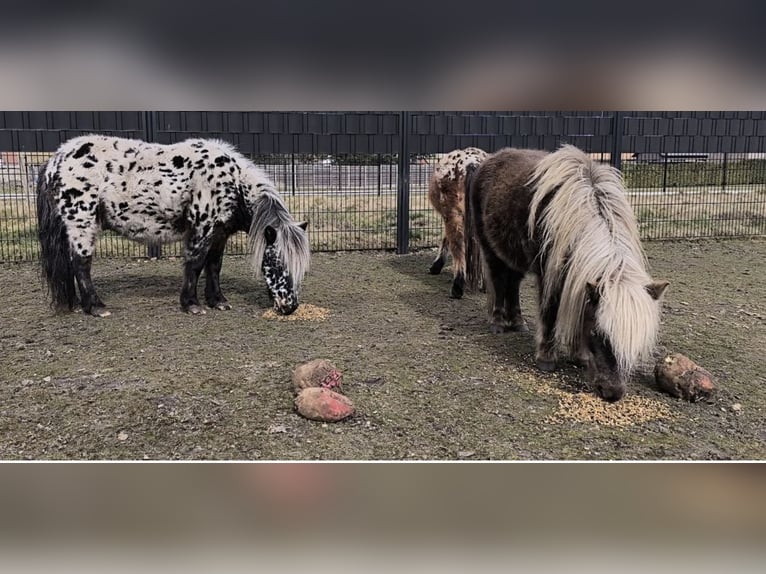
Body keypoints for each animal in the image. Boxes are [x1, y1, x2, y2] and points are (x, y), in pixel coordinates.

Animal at [36, 134, 310, 317]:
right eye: (277, 263)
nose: (289, 307)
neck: (232, 182)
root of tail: (56, 159)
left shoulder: (219, 234)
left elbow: (214, 266)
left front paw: (217, 301)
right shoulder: (202, 230)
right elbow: (196, 264)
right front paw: (192, 304)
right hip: (81, 223)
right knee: (81, 264)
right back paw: (95, 307)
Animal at [427, 147, 487, 298]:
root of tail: (473, 163)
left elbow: (446, 239)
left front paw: (436, 266)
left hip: (454, 215)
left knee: (457, 245)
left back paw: (457, 287)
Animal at [464, 144, 669, 402]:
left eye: (636, 340)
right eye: (597, 333)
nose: (612, 392)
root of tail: (487, 160)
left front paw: (578, 355)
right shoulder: (549, 274)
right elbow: (550, 311)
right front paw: (546, 358)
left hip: (515, 256)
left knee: (513, 284)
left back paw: (518, 322)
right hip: (491, 250)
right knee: (499, 282)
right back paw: (498, 322)